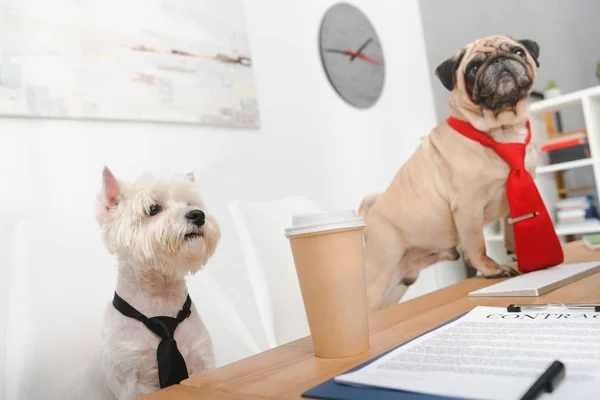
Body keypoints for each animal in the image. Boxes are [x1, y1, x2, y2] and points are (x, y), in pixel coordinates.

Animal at [70, 166, 220, 400]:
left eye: (189, 203)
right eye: (153, 208)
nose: (198, 215)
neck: (160, 298)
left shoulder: (202, 361)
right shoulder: (131, 380)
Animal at [358, 35, 540, 312]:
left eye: (518, 52)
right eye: (473, 68)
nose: (499, 60)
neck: (502, 131)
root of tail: (369, 217)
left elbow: (513, 227)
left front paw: (517, 253)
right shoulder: (468, 206)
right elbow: (477, 245)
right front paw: (492, 269)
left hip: (394, 285)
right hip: (378, 273)